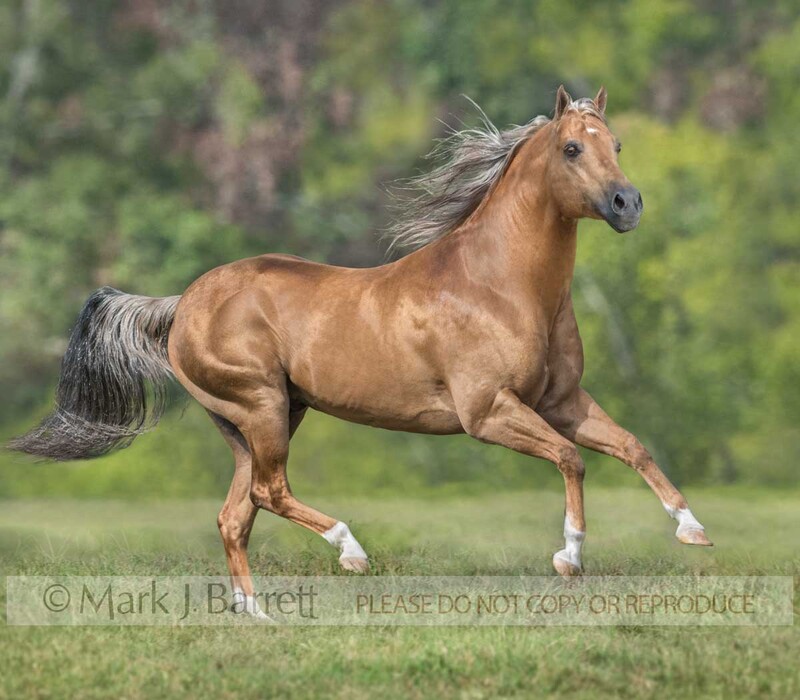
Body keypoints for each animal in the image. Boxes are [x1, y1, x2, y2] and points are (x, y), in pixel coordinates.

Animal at [10, 86, 711, 614]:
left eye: (616, 145)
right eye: (571, 147)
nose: (627, 203)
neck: (500, 285)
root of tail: (181, 304)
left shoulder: (562, 400)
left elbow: (630, 447)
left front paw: (692, 529)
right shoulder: (487, 412)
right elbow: (572, 458)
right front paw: (569, 556)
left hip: (256, 420)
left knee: (236, 514)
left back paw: (259, 615)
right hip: (263, 408)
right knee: (269, 492)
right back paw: (351, 551)